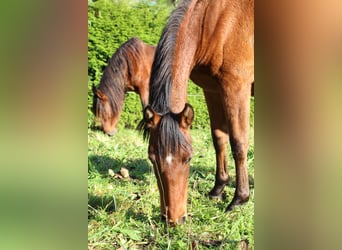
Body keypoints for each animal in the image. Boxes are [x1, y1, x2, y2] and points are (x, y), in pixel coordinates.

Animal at [139, 0, 254, 226]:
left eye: (188, 158)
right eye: (152, 158)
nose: (174, 220)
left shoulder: (237, 87)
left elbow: (238, 142)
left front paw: (239, 199)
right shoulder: (212, 90)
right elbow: (219, 138)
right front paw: (217, 190)